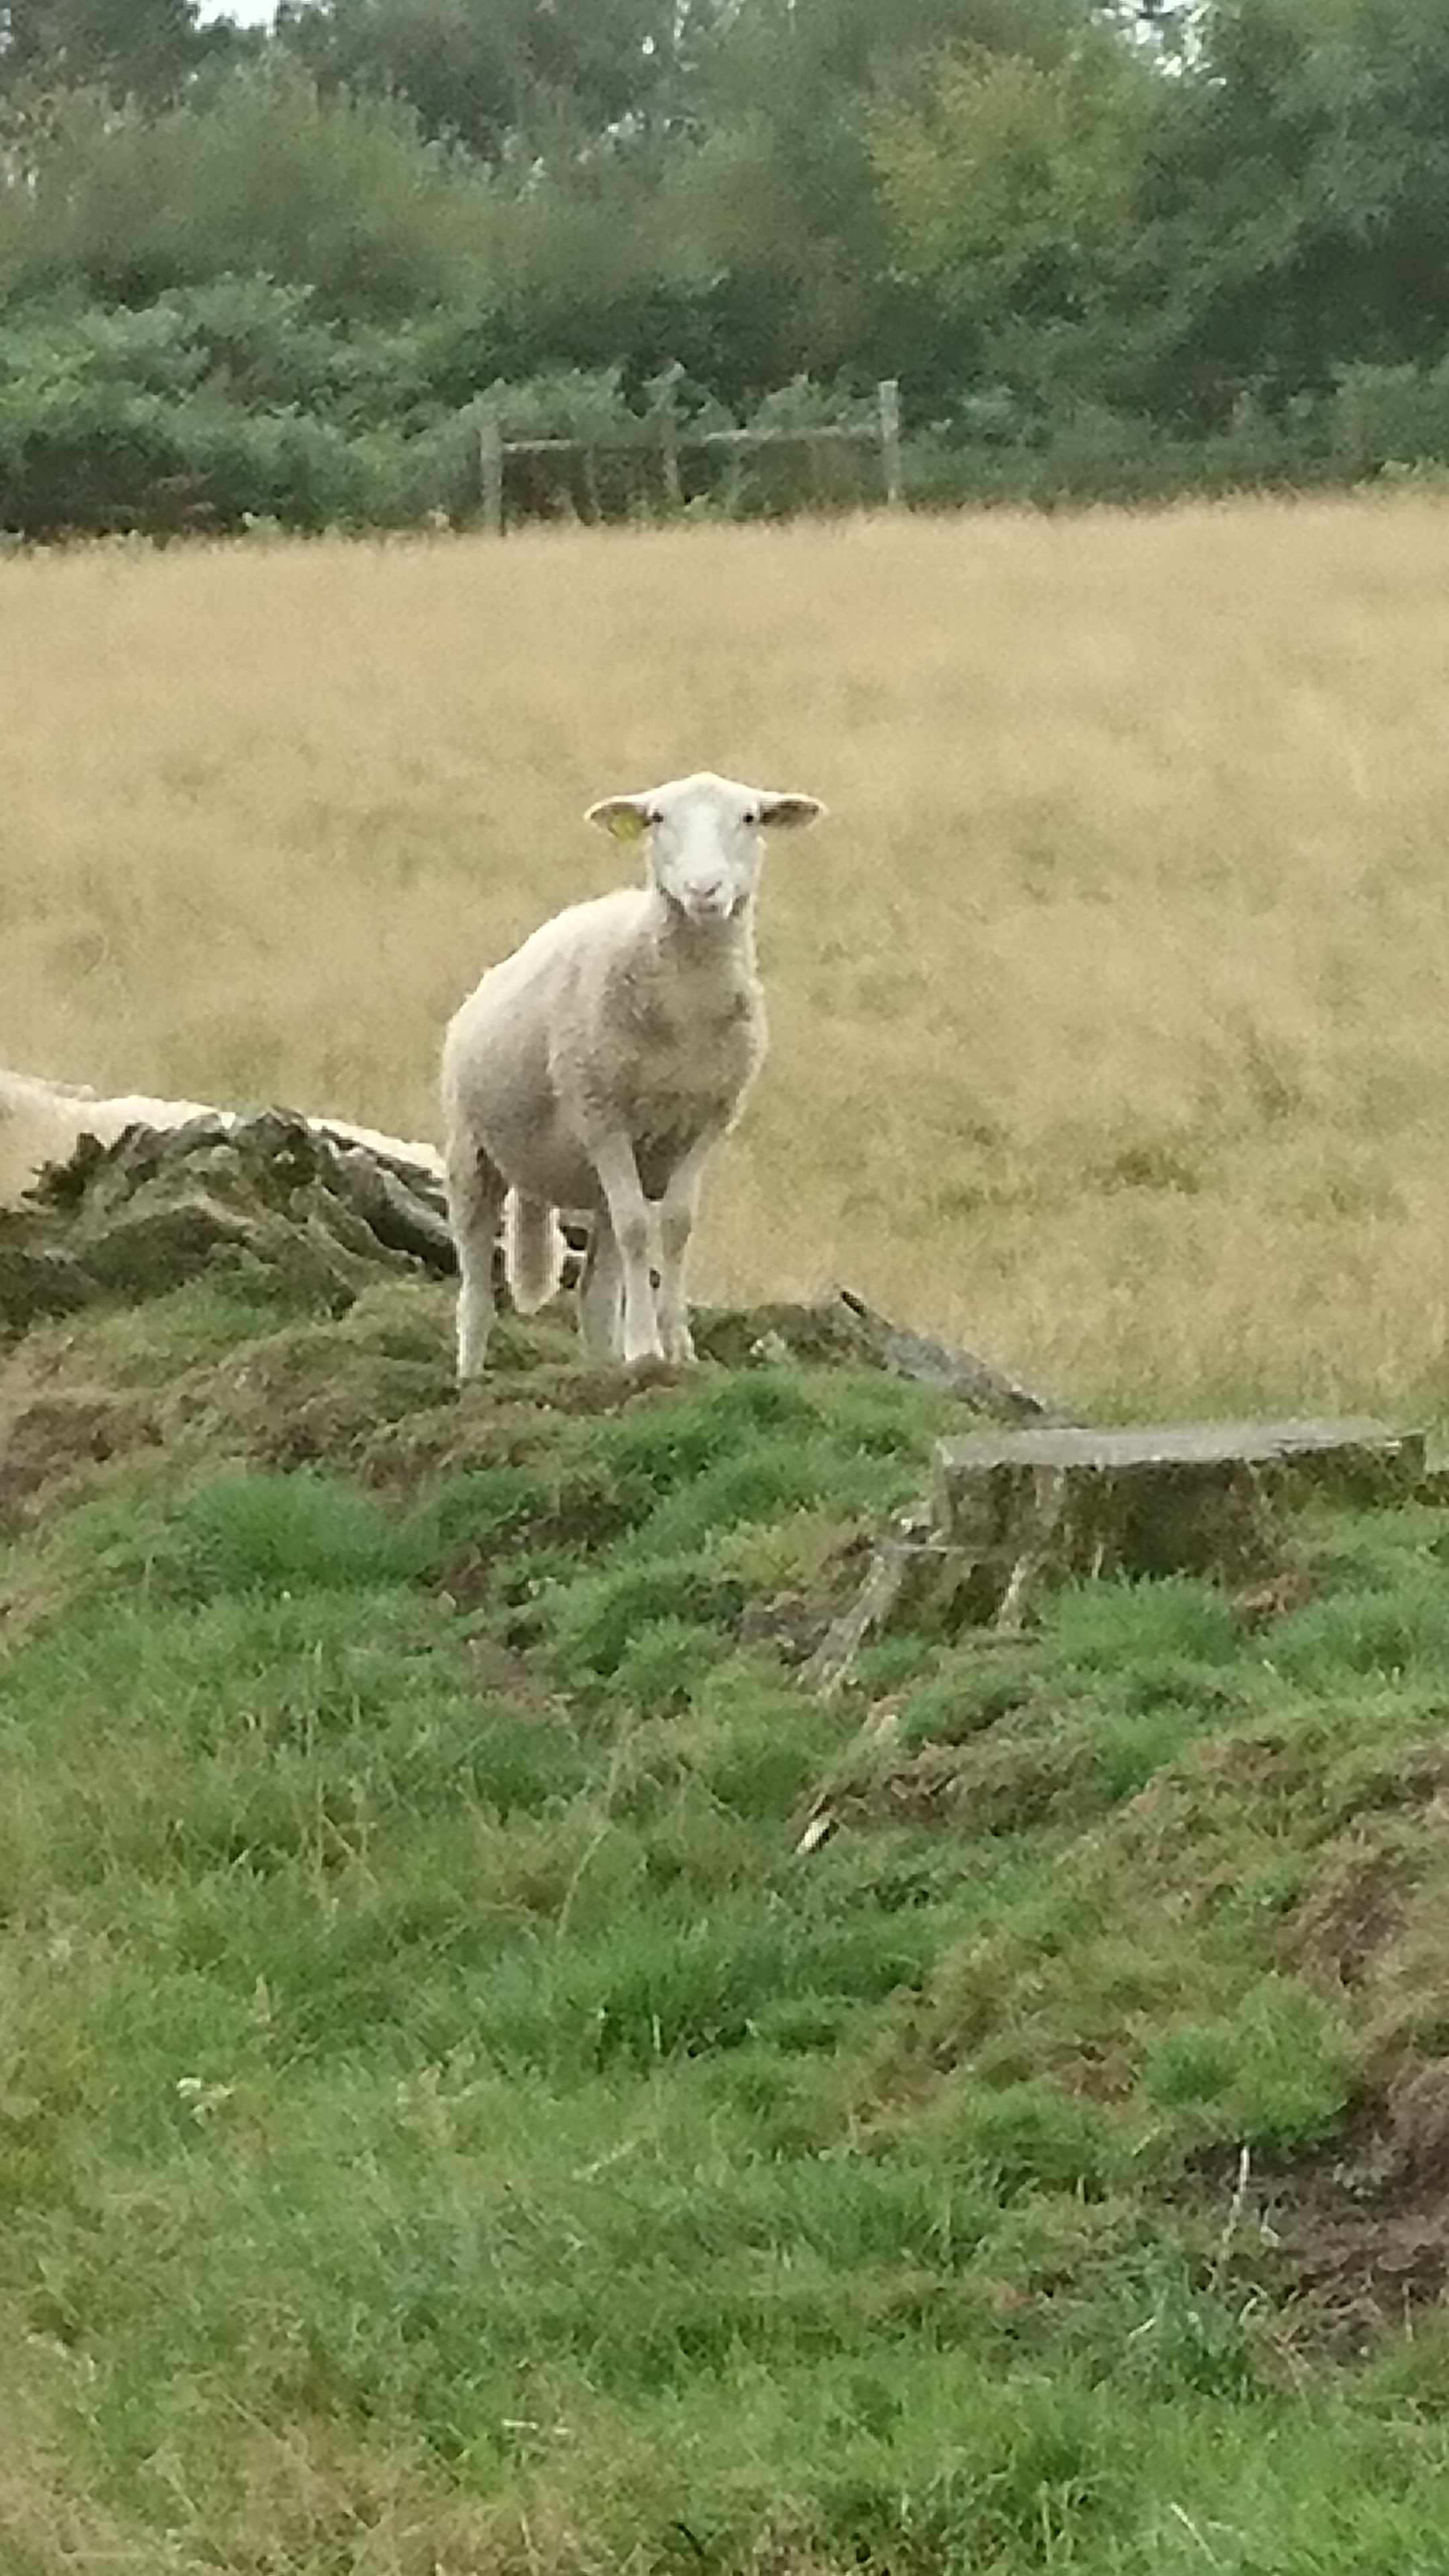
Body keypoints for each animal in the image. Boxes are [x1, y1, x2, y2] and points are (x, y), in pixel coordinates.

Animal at [440, 767, 825, 1379]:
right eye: (657, 818)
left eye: (750, 818)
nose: (705, 890)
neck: (686, 1012)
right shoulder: (601, 1114)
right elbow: (639, 1228)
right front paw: (645, 1348)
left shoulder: (707, 1122)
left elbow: (675, 1226)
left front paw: (678, 1349)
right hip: (472, 1153)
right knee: (476, 1289)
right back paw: (471, 1375)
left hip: (595, 1175)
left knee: (596, 1291)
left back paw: (605, 1368)